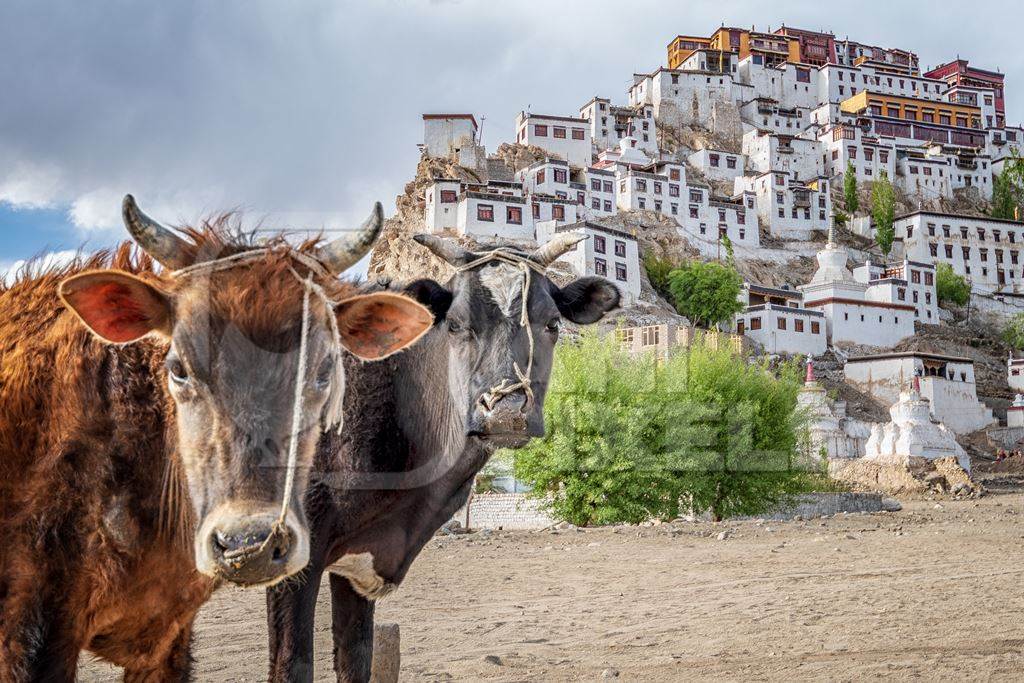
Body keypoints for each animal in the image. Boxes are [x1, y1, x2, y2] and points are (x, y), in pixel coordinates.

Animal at [266, 233, 614, 679]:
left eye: (552, 324)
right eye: (455, 324)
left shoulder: (359, 563)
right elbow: (292, 666)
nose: (505, 412)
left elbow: (357, 659)